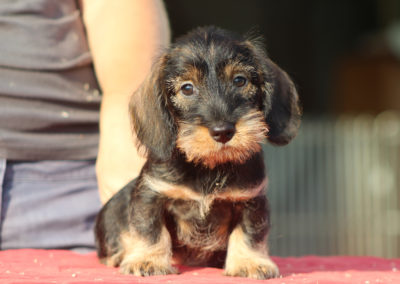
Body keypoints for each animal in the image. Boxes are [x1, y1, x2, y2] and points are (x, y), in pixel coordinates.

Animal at [94, 26, 300, 280]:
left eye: (240, 80)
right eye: (187, 88)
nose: (223, 131)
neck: (207, 166)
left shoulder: (251, 200)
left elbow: (250, 233)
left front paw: (249, 263)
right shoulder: (151, 194)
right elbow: (150, 230)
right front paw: (148, 260)